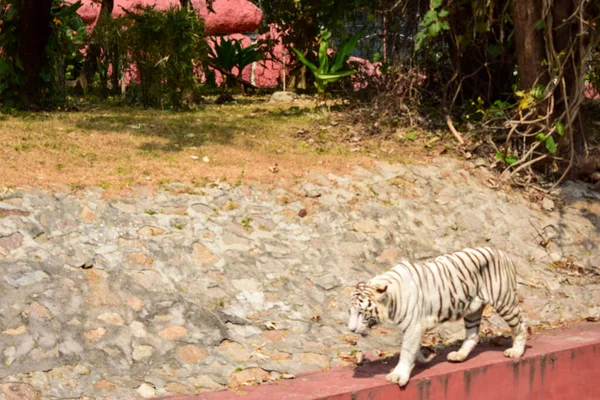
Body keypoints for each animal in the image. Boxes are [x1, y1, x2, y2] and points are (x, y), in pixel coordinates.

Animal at [350, 247, 528, 388]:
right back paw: (459, 355)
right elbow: (411, 348)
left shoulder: (413, 326)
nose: (351, 329)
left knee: (522, 325)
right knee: (473, 335)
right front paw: (424, 357)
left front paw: (398, 375)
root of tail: (502, 253)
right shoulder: (412, 328)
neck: (391, 300)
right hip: (472, 310)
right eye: (350, 312)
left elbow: (406, 351)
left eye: (361, 312)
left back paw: (516, 351)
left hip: (504, 301)